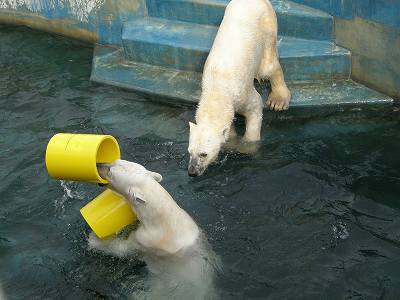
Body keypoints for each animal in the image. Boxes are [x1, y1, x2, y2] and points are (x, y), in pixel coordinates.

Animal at [87, 161, 220, 298]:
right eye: (117, 161)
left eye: (110, 173)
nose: (98, 165)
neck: (163, 220)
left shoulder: (147, 241)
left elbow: (121, 249)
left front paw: (94, 240)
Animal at [188, 0, 290, 176]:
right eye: (190, 152)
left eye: (204, 154)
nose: (192, 172)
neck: (218, 88)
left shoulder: (243, 94)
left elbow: (255, 108)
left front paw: (246, 147)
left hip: (267, 26)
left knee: (269, 65)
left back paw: (279, 99)